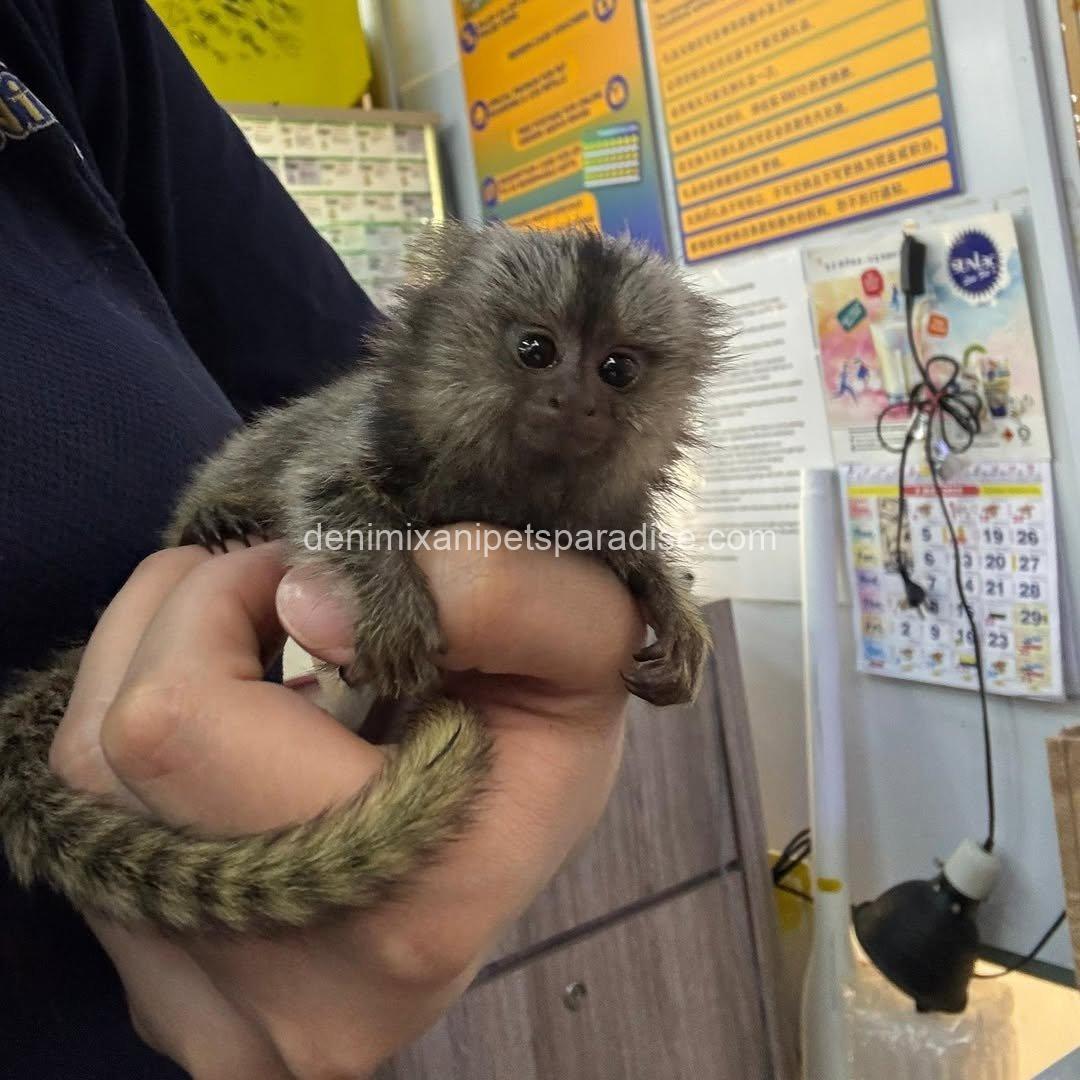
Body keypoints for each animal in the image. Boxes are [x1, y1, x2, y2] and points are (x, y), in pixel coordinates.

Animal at [0, 222, 728, 934]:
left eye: (617, 370)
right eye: (535, 350)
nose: (575, 402)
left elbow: (630, 550)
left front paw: (674, 606)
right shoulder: (368, 443)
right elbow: (325, 492)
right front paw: (394, 602)